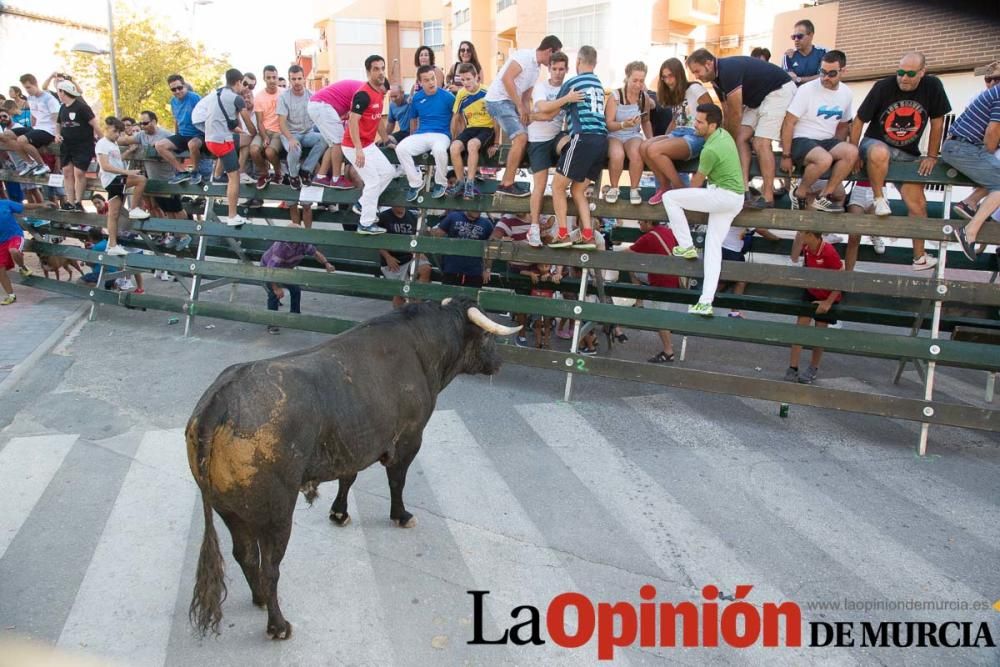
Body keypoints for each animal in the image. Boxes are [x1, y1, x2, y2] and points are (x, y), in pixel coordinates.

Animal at [185, 300, 524, 640]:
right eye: (486, 337)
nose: (500, 362)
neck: (421, 346)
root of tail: (219, 401)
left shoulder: (353, 443)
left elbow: (348, 476)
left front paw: (339, 513)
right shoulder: (409, 439)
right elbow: (397, 481)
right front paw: (401, 516)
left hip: (229, 508)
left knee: (244, 553)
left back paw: (258, 598)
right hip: (276, 513)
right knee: (270, 566)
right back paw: (278, 625)